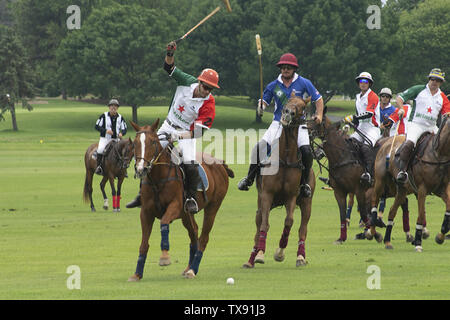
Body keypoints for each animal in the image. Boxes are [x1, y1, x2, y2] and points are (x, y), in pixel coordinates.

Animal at [125, 119, 234, 280]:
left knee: (203, 238)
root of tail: (220, 163)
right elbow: (144, 244)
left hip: (212, 207)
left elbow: (164, 223)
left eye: (153, 142)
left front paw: (164, 257)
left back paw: (192, 270)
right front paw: (137, 274)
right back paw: (189, 267)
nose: (141, 169)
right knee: (194, 233)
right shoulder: (146, 212)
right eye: (135, 143)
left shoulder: (175, 207)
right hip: (186, 214)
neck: (157, 178)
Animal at [243, 94, 316, 268]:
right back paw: (252, 258)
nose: (287, 113)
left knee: (303, 229)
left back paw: (301, 257)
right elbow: (264, 225)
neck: (285, 158)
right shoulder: (267, 195)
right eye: (288, 101)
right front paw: (260, 254)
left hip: (306, 203)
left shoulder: (291, 196)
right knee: (258, 226)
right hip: (263, 203)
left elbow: (289, 222)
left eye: (303, 107)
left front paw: (280, 252)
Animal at [370, 115, 450, 252]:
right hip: (380, 182)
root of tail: (385, 142)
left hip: (401, 189)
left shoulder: (441, 189)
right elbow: (421, 215)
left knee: (392, 211)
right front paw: (418, 242)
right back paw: (374, 233)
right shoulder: (422, 189)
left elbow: (448, 208)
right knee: (375, 201)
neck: (438, 154)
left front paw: (440, 236)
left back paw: (387, 241)